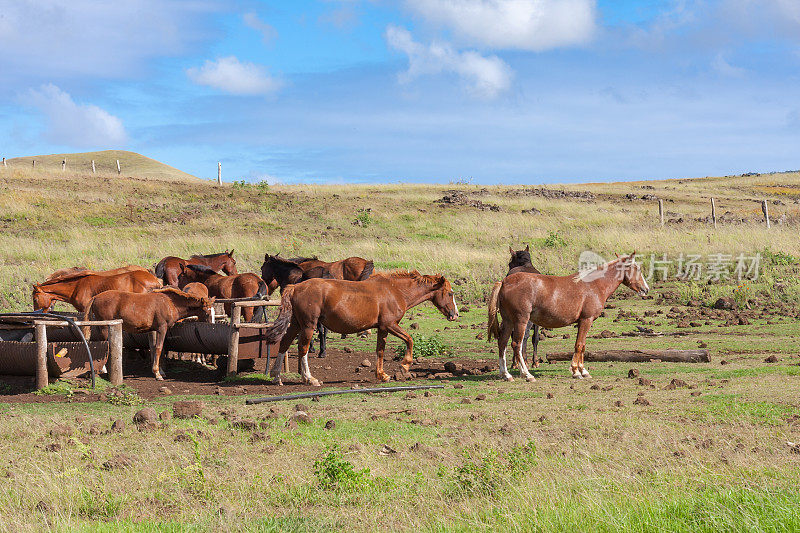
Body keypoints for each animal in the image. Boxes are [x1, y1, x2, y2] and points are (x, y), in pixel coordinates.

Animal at [83, 288, 214, 380]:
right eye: (207, 313)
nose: (212, 326)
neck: (169, 303)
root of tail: (95, 297)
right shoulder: (162, 328)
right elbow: (159, 348)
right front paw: (157, 374)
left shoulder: (153, 330)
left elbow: (154, 348)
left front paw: (158, 370)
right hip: (105, 327)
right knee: (105, 345)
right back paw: (103, 369)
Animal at [256, 270, 456, 386]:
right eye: (450, 293)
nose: (455, 314)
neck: (394, 291)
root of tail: (296, 287)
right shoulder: (391, 325)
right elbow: (410, 340)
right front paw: (404, 366)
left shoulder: (382, 328)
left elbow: (380, 350)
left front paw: (382, 375)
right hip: (308, 325)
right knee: (302, 348)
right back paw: (309, 378)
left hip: (296, 324)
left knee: (284, 343)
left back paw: (276, 376)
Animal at [488, 252, 648, 380]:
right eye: (637, 268)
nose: (645, 289)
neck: (594, 285)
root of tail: (504, 282)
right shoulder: (586, 320)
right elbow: (579, 345)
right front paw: (577, 372)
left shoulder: (583, 321)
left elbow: (582, 345)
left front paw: (582, 371)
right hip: (521, 321)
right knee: (517, 344)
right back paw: (527, 374)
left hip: (509, 321)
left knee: (502, 342)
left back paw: (506, 374)